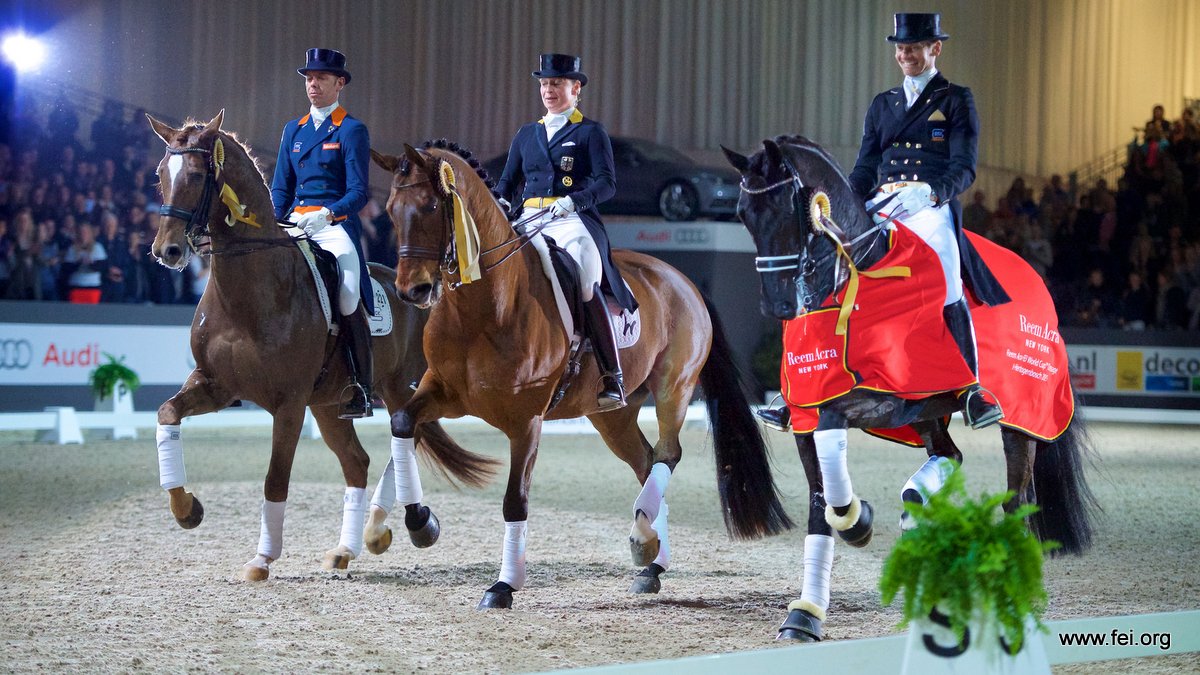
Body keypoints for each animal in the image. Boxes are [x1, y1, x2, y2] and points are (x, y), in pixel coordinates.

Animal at [147, 112, 494, 581]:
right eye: (160, 175)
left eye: (198, 175)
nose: (167, 250)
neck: (249, 291)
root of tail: (424, 292)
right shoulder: (216, 385)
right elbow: (167, 413)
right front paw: (187, 510)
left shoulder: (289, 403)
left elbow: (275, 478)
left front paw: (262, 559)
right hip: (330, 404)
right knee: (358, 461)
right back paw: (348, 548)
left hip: (397, 386)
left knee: (404, 433)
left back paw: (403, 525)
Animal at [369, 139, 792, 607]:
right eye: (390, 210)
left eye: (429, 206)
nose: (413, 291)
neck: (482, 307)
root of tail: (683, 279)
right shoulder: (441, 391)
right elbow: (402, 425)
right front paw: (416, 522)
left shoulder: (526, 420)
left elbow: (515, 500)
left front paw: (502, 587)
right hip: (613, 415)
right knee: (646, 462)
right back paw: (652, 561)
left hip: (673, 388)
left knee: (667, 455)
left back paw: (643, 540)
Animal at [720, 133, 1099, 638]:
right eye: (743, 213)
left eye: (789, 209)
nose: (780, 305)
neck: (853, 280)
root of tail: (1035, 278)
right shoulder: (804, 413)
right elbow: (821, 504)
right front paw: (805, 615)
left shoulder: (883, 401)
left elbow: (834, 452)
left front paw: (858, 522)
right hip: (932, 415)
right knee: (950, 456)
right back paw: (914, 509)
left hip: (1021, 416)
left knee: (1018, 500)